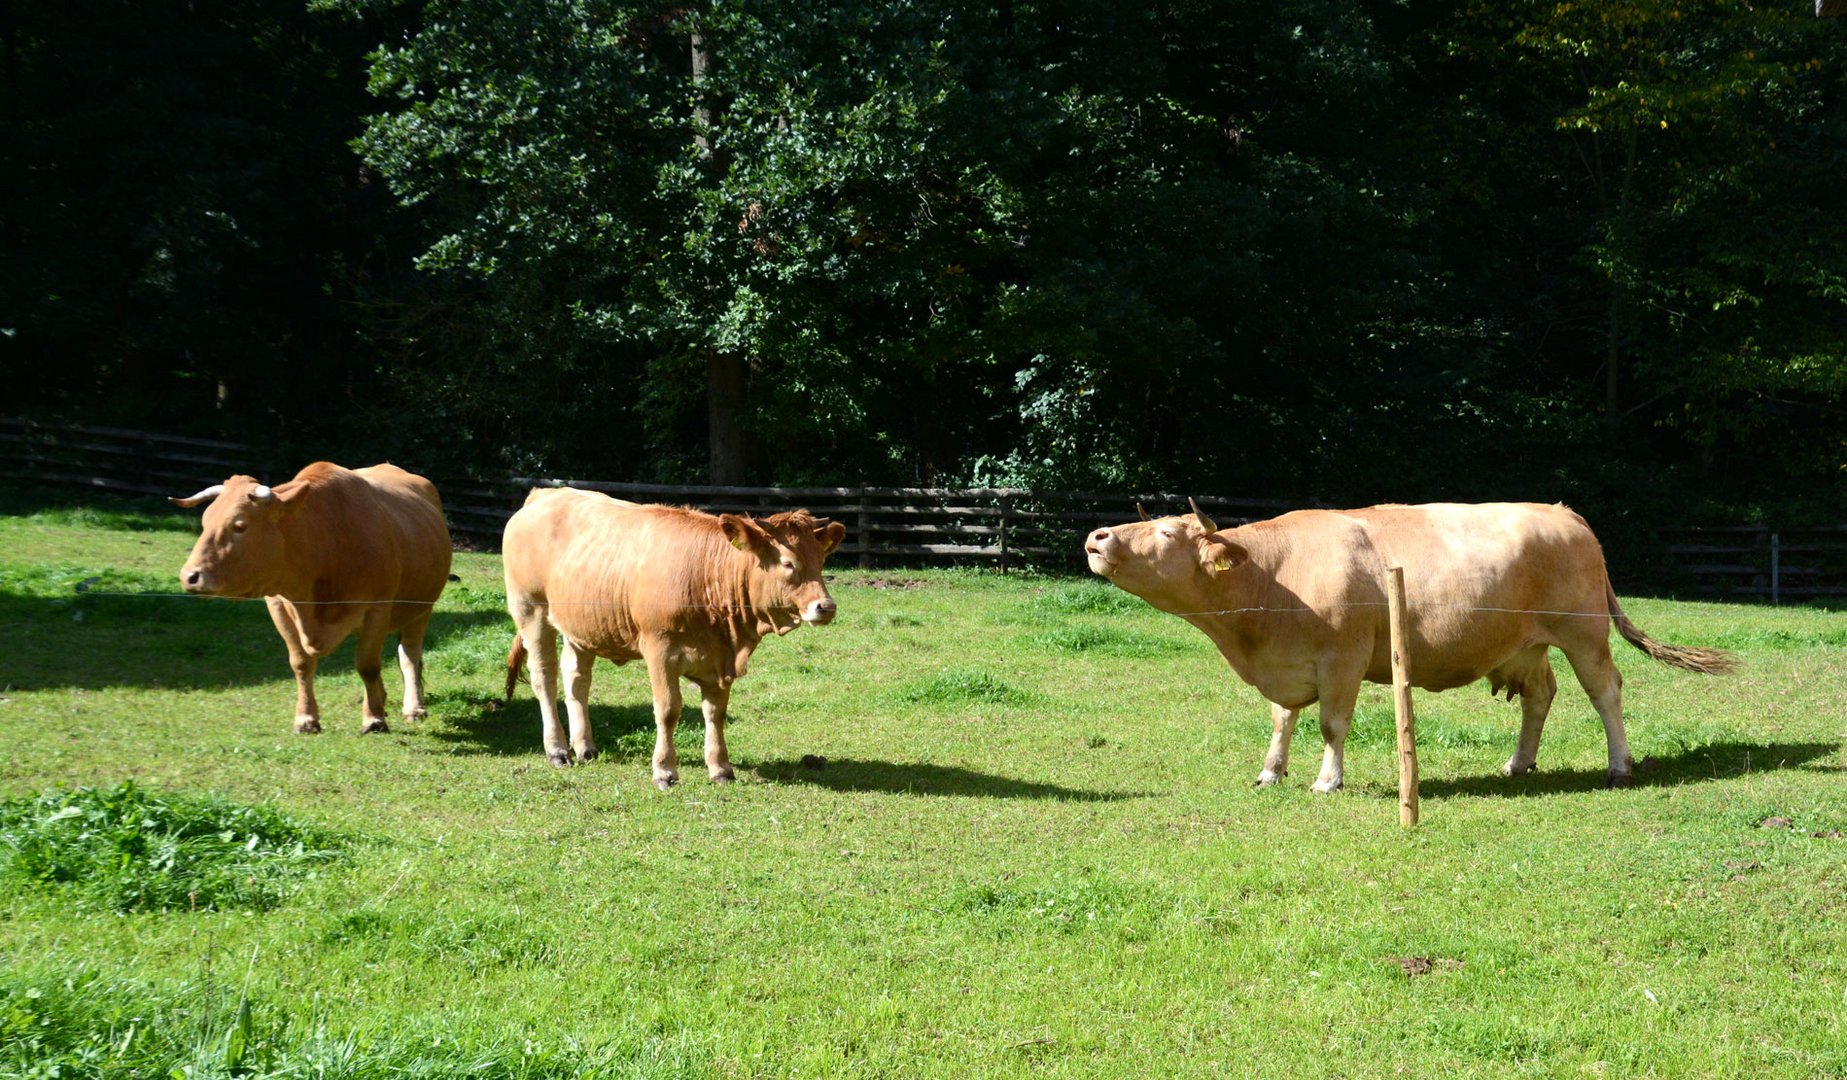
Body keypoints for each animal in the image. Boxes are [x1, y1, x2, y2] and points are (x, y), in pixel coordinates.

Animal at [172, 461, 454, 731]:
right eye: (205, 521)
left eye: (240, 525)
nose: (190, 576)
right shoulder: (279, 606)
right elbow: (301, 664)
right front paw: (306, 718)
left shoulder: (377, 609)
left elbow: (368, 665)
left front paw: (373, 719)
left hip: (421, 609)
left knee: (409, 655)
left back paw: (413, 707)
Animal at [498, 487, 845, 782]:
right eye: (788, 563)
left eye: (820, 560)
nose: (825, 606)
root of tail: (545, 494)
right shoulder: (659, 650)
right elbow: (668, 709)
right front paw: (664, 770)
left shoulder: (719, 658)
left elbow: (715, 712)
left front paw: (720, 768)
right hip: (531, 610)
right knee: (545, 678)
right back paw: (557, 750)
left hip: (580, 626)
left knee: (576, 680)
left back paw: (585, 747)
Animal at [1078, 502, 1728, 786]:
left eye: (1166, 532)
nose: (1097, 535)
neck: (1270, 576)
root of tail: (1567, 514)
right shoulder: (1288, 666)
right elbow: (1282, 718)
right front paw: (1270, 772)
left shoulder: (1342, 658)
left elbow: (1331, 725)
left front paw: (1327, 780)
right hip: (1525, 643)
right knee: (1541, 696)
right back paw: (1518, 762)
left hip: (1582, 630)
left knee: (1605, 691)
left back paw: (1619, 765)